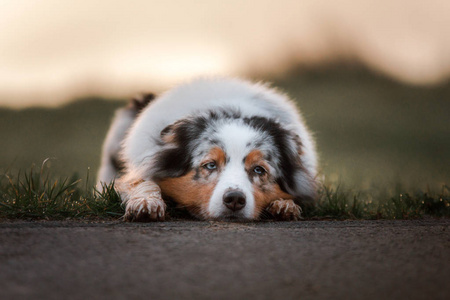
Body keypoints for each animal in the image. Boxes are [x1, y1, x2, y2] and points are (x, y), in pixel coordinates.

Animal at [96, 78, 318, 221]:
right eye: (210, 165)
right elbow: (142, 182)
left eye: (259, 170)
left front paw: (285, 205)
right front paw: (145, 203)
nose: (235, 200)